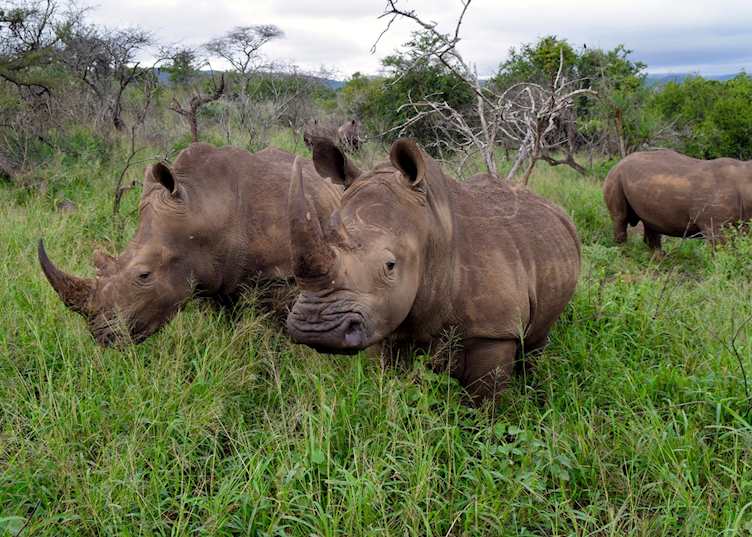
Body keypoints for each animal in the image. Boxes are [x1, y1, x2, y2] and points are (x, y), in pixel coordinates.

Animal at [39, 142, 341, 346]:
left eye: (144, 275)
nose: (102, 336)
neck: (205, 205)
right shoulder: (211, 276)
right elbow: (227, 323)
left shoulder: (280, 277)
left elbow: (282, 330)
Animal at [286, 138, 581, 402]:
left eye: (390, 265)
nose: (315, 328)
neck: (431, 230)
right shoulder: (383, 321)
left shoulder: (495, 332)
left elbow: (485, 401)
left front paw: (485, 425)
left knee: (536, 341)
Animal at [604, 150, 752, 249]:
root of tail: (617, 163)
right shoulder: (714, 224)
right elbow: (721, 249)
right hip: (615, 177)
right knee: (620, 218)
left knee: (650, 224)